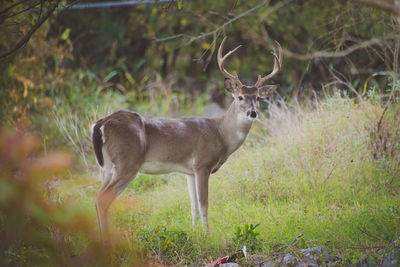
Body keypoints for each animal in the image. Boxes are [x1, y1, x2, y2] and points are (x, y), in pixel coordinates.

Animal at [92, 37, 282, 245]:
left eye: (257, 98)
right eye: (240, 97)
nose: (252, 112)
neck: (221, 133)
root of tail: (102, 123)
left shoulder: (189, 172)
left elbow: (193, 207)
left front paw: (194, 234)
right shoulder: (202, 164)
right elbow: (204, 203)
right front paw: (207, 236)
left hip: (106, 166)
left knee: (97, 196)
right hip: (127, 161)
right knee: (103, 198)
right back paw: (106, 242)